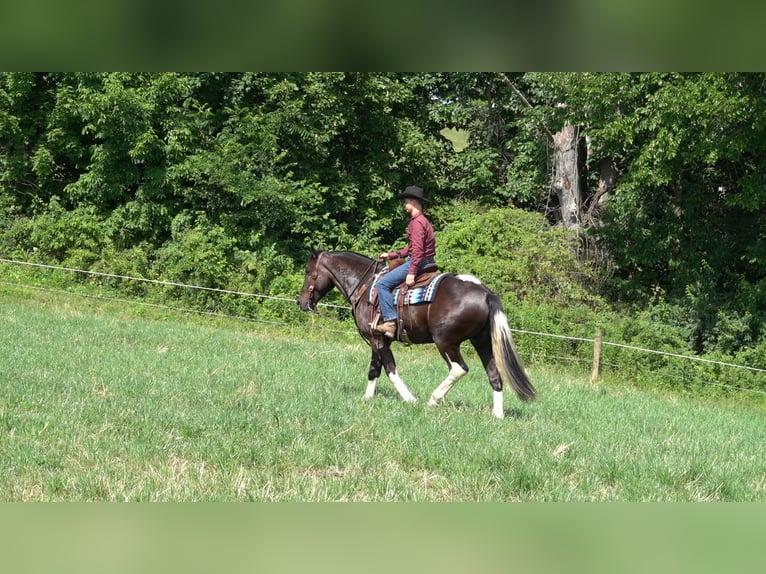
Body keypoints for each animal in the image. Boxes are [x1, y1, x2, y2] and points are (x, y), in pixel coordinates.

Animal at [296, 250, 536, 420]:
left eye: (308, 272)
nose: (300, 302)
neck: (366, 286)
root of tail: (486, 293)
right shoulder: (377, 339)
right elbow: (374, 369)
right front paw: (367, 398)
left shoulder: (378, 339)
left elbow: (390, 370)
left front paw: (409, 399)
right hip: (482, 342)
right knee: (494, 374)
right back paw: (498, 415)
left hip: (446, 342)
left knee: (459, 368)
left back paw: (433, 399)